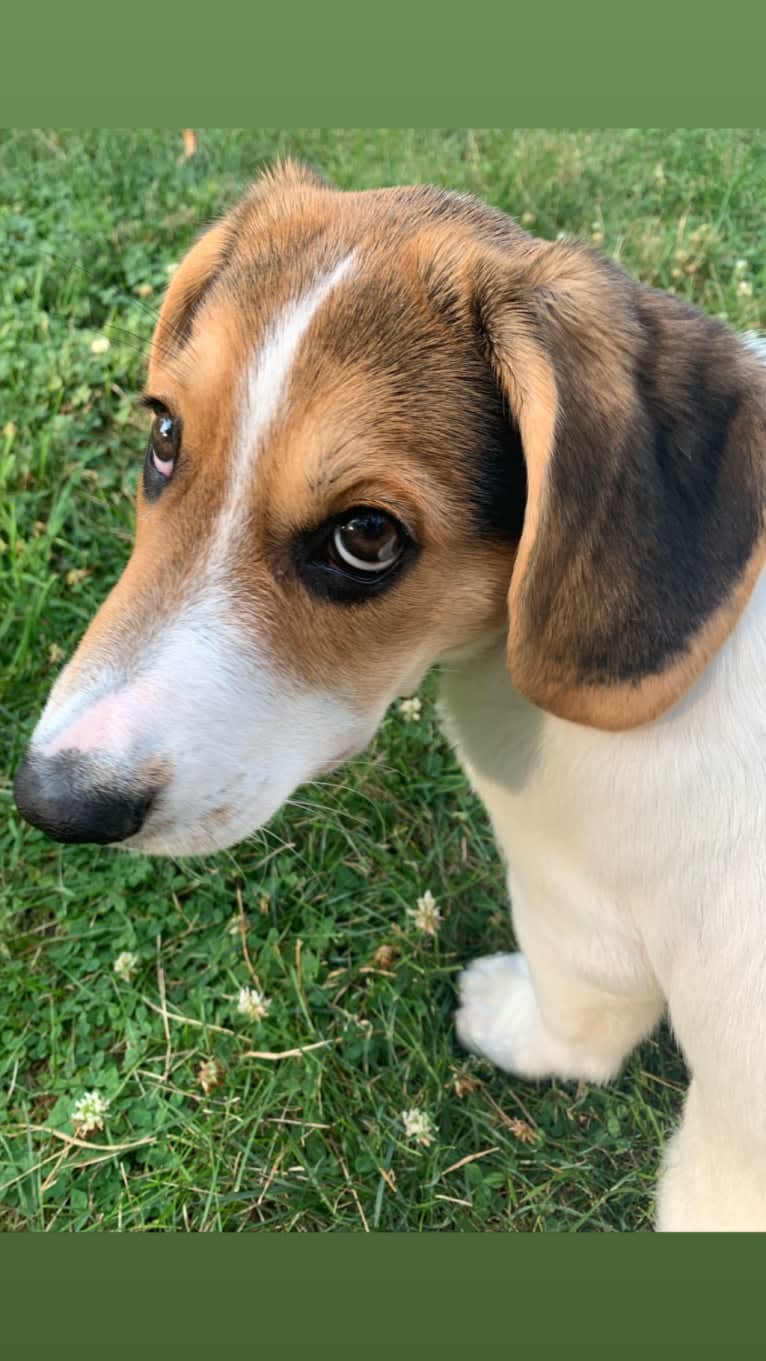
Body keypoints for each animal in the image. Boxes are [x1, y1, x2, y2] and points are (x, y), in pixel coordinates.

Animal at [13, 161, 766, 1235]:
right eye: (164, 434)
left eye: (367, 536)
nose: (54, 801)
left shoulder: (578, 909)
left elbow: (576, 1023)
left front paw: (503, 1018)